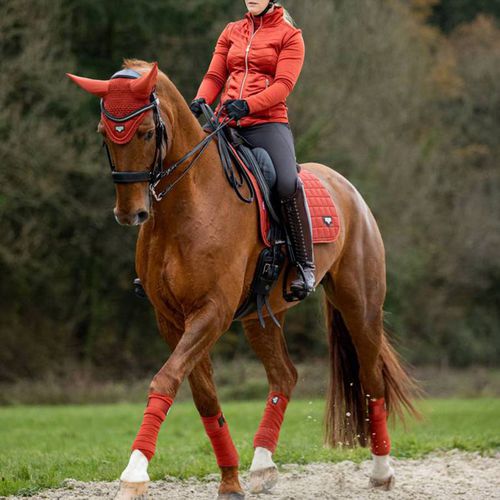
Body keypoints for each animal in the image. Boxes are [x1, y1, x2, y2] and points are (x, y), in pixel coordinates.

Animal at [66, 60, 418, 498]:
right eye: (104, 134)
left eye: (146, 131)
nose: (131, 213)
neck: (188, 206)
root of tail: (347, 189)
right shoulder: (172, 319)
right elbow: (204, 398)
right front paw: (230, 479)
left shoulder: (211, 313)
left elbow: (165, 380)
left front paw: (134, 474)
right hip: (260, 318)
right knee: (285, 375)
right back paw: (262, 466)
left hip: (361, 307)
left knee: (372, 380)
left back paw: (382, 471)